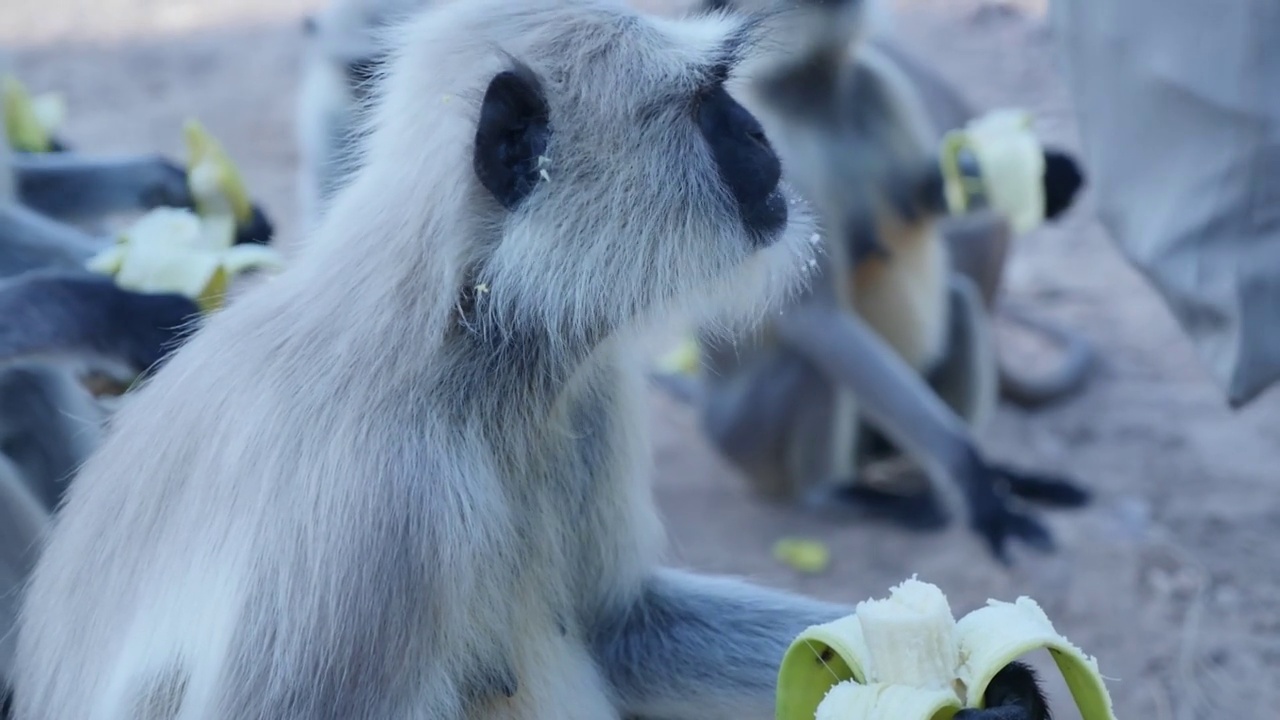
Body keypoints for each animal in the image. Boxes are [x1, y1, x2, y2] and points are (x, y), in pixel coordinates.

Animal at [670, 0, 1090, 550]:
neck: (815, 89)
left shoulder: (875, 81)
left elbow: (924, 193)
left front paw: (1045, 177)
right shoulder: (766, 153)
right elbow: (816, 317)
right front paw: (970, 473)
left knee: (959, 300)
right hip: (748, 443)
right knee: (813, 357)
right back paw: (838, 494)